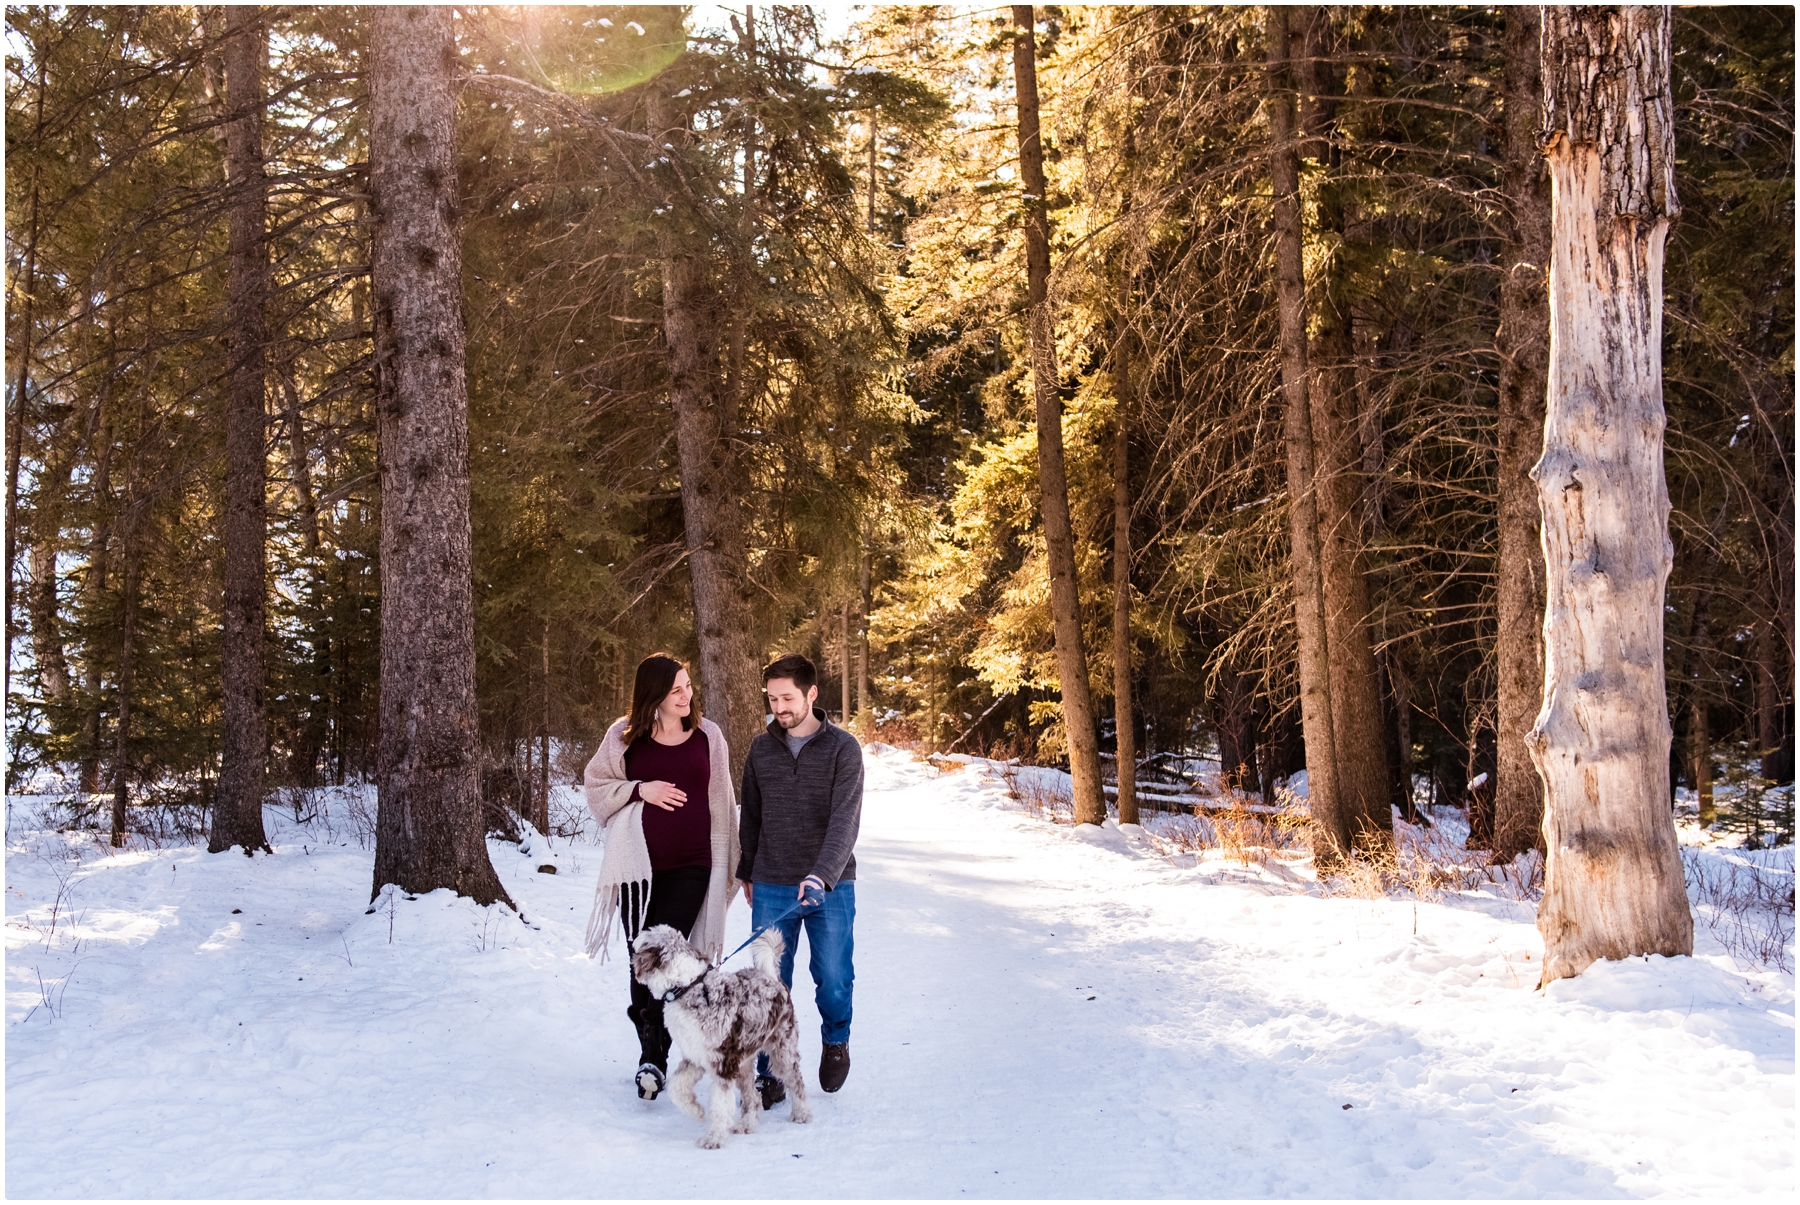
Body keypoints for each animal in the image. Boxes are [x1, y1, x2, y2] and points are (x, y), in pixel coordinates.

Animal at [626, 922, 810, 1145]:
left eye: (641, 943)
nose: (632, 945)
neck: (688, 987)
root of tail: (773, 978)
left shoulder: (724, 1063)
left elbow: (720, 1104)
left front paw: (713, 1138)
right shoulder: (695, 1055)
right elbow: (677, 1087)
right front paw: (697, 1112)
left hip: (782, 1050)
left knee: (796, 1082)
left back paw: (802, 1114)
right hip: (744, 1062)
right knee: (753, 1098)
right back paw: (747, 1124)